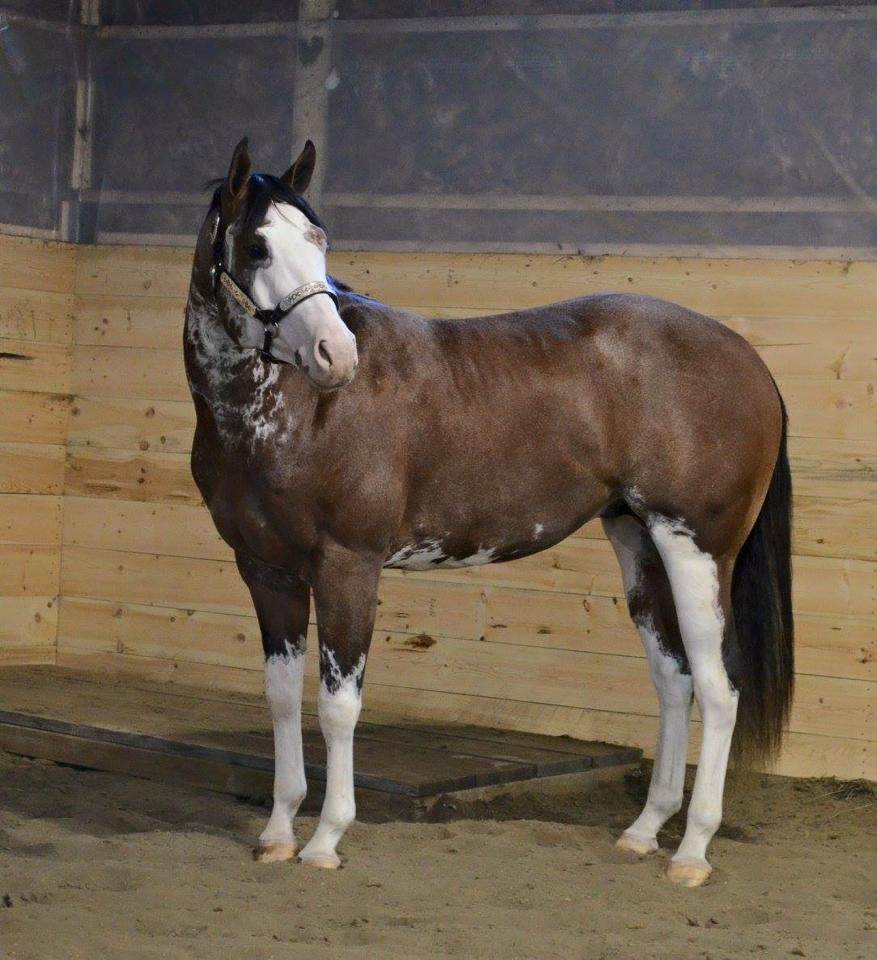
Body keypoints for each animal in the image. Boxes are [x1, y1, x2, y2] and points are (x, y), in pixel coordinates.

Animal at [184, 137, 793, 887]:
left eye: (319, 241)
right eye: (258, 246)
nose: (336, 355)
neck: (288, 412)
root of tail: (747, 360)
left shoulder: (347, 566)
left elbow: (337, 706)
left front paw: (326, 839)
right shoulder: (264, 570)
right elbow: (279, 698)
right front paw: (276, 832)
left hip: (697, 548)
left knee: (718, 685)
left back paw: (691, 852)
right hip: (640, 542)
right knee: (673, 680)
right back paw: (644, 831)